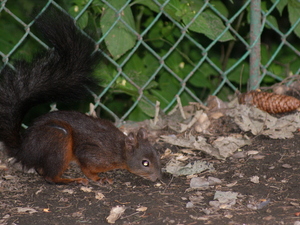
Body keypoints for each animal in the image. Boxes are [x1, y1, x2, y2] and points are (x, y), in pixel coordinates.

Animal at [0, 7, 162, 185]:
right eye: (145, 163)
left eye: (158, 155)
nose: (159, 177)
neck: (120, 151)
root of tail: (24, 150)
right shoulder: (92, 154)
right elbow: (87, 168)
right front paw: (99, 178)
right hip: (59, 139)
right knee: (50, 177)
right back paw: (72, 180)